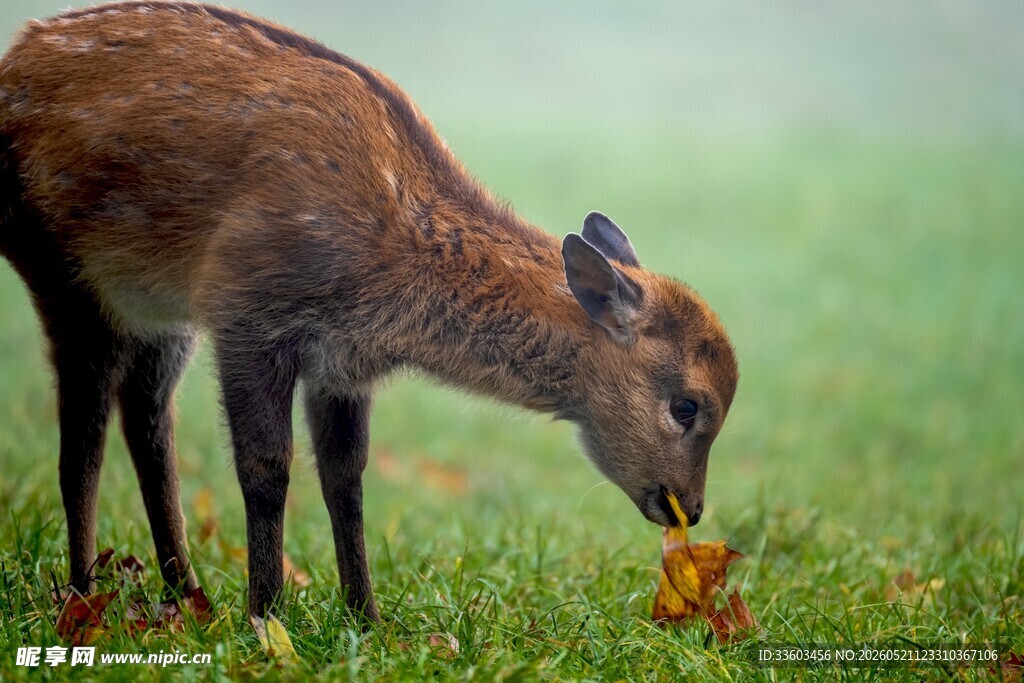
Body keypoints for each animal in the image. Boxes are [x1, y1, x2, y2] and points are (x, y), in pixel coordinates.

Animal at [0, 2, 738, 623]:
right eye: (688, 406)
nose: (692, 508)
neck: (388, 279)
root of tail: (12, 61)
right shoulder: (247, 309)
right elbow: (266, 467)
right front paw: (267, 618)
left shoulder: (342, 364)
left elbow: (346, 478)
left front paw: (365, 616)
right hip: (63, 272)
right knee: (83, 436)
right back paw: (84, 596)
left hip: (159, 311)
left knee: (148, 423)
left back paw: (187, 594)